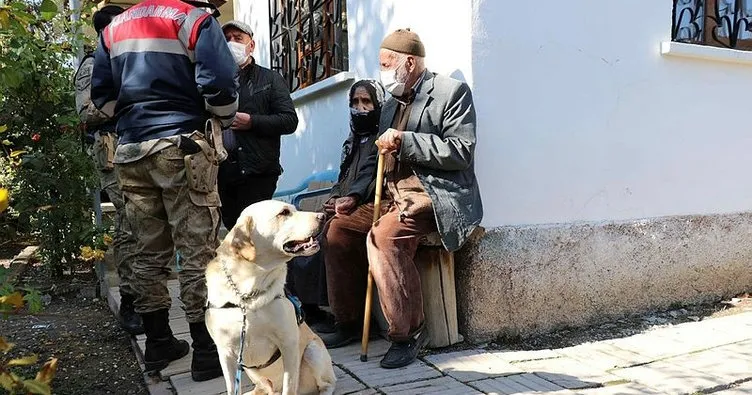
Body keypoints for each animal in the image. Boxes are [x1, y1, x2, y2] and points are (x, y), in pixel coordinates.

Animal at [206, 201, 334, 395]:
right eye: (284, 212)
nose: (323, 216)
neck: (248, 296)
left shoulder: (288, 343)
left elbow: (289, 387)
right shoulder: (226, 353)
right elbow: (231, 388)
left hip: (313, 351)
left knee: (327, 384)